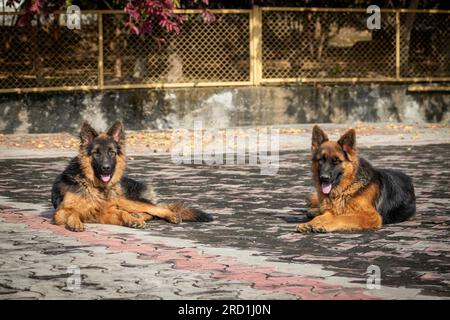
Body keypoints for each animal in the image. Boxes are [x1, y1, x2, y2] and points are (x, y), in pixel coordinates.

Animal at [51, 121, 214, 231]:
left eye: (111, 152)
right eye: (96, 153)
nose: (106, 168)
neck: (95, 186)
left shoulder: (107, 211)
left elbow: (122, 213)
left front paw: (131, 219)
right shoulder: (60, 212)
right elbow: (73, 212)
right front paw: (76, 222)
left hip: (126, 201)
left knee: (154, 209)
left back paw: (168, 215)